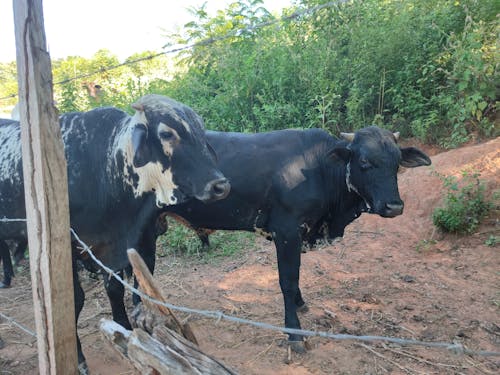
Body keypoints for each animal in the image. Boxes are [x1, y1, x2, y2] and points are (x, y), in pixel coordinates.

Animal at [0, 95, 229, 372]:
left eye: (200, 129)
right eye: (166, 134)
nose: (220, 186)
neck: (106, 170)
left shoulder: (122, 247)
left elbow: (117, 290)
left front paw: (124, 330)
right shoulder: (68, 248)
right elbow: (75, 300)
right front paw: (79, 358)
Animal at [160, 126, 430, 352]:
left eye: (397, 162)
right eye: (364, 162)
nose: (394, 206)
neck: (319, 169)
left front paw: (301, 303)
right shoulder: (287, 232)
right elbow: (288, 281)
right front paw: (295, 333)